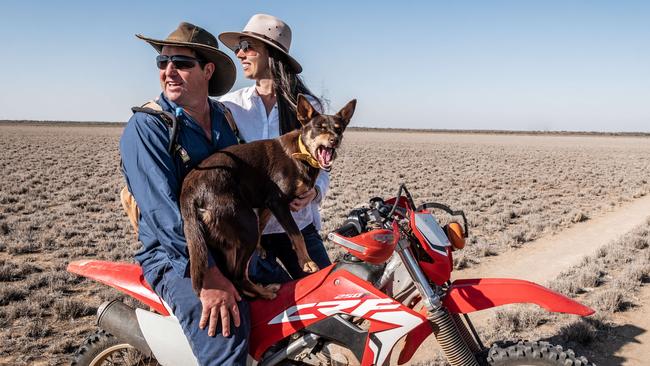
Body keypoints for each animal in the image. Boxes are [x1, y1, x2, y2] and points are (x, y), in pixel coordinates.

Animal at [178, 93, 354, 298]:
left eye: (339, 129)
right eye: (320, 127)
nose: (335, 140)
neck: (301, 153)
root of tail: (188, 191)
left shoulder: (266, 205)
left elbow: (264, 226)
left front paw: (261, 249)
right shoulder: (277, 202)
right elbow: (297, 234)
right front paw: (307, 262)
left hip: (229, 238)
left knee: (232, 275)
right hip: (246, 224)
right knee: (238, 274)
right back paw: (266, 293)